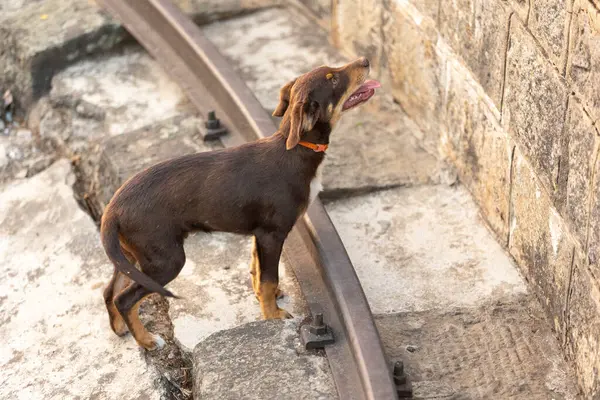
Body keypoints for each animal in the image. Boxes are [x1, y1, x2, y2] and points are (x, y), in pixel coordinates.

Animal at [98, 57, 380, 350]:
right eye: (333, 80)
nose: (365, 60)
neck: (296, 149)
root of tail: (111, 211)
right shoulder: (272, 234)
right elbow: (268, 278)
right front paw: (272, 316)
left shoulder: (260, 234)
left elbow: (258, 272)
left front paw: (266, 301)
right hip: (166, 260)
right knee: (124, 299)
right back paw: (147, 341)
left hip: (132, 256)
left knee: (110, 290)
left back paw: (120, 328)